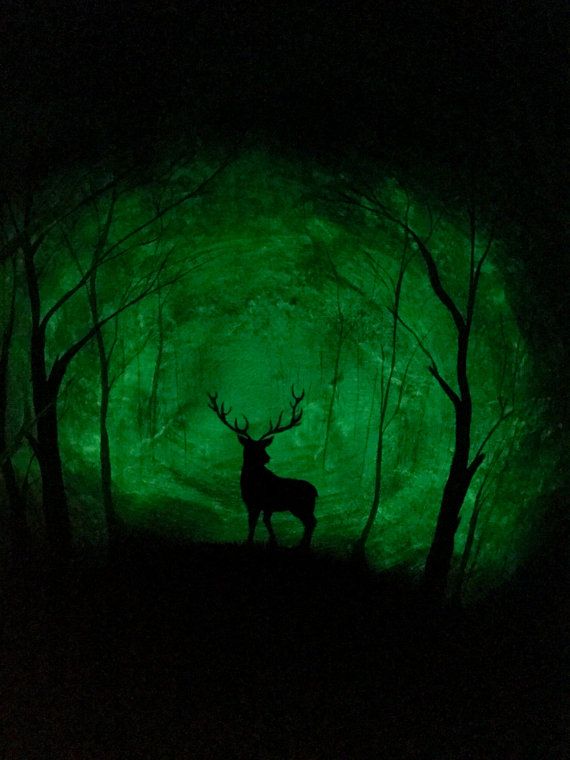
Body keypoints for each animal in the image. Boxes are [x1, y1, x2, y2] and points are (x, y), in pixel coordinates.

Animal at [207, 387, 318, 548]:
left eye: (263, 446)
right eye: (252, 447)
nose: (268, 457)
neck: (251, 481)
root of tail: (316, 492)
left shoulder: (261, 502)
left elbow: (257, 522)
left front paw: (260, 541)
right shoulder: (252, 503)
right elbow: (253, 523)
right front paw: (257, 541)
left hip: (301, 505)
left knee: (311, 522)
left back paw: (303, 545)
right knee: (310, 522)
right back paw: (302, 544)